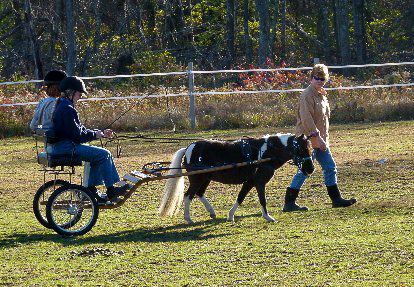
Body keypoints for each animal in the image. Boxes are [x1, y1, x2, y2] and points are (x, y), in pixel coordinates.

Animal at [159, 134, 314, 224]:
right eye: (300, 149)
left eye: (310, 148)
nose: (311, 169)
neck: (266, 152)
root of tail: (189, 147)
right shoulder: (259, 182)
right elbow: (262, 199)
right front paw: (268, 217)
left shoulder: (249, 182)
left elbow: (240, 197)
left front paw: (230, 216)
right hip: (197, 178)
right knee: (188, 195)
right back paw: (188, 218)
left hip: (206, 178)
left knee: (199, 193)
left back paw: (212, 212)